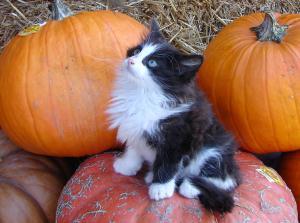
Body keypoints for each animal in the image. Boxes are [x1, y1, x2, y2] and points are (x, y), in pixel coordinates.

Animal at [106, 19, 240, 213]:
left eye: (152, 63)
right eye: (137, 51)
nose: (131, 60)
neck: (142, 94)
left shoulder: (178, 136)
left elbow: (169, 162)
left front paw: (160, 188)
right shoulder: (135, 127)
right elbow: (133, 148)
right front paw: (126, 165)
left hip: (213, 147)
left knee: (225, 178)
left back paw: (189, 186)